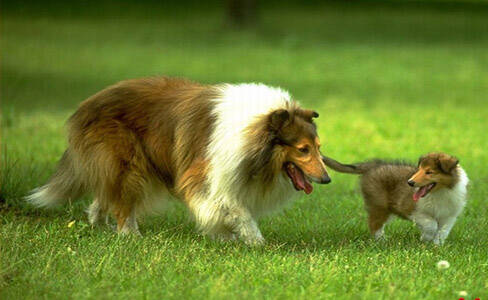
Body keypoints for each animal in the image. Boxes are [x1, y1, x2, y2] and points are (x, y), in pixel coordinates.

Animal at [27, 77, 332, 244]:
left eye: (318, 147)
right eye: (303, 149)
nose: (327, 178)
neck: (252, 135)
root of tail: (85, 107)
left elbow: (233, 207)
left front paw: (231, 236)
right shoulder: (206, 175)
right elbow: (234, 209)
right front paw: (253, 241)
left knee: (105, 196)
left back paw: (100, 226)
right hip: (128, 163)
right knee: (122, 203)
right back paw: (130, 235)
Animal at [322, 152, 468, 244]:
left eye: (429, 172)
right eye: (419, 169)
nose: (410, 183)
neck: (440, 192)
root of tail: (372, 165)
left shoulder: (449, 216)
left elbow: (442, 231)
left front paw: (436, 246)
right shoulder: (412, 210)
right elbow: (431, 224)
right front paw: (425, 239)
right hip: (379, 205)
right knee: (374, 224)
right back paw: (381, 242)